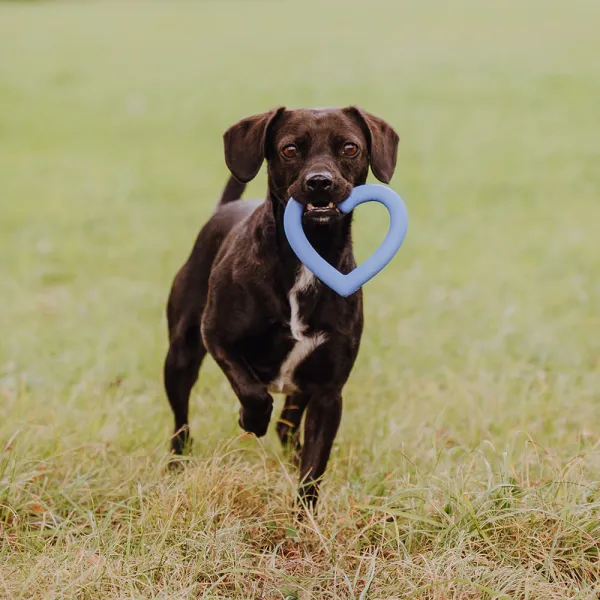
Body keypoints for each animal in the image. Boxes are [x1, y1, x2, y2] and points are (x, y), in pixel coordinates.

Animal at [164, 106, 398, 506]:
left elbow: (313, 469)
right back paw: (178, 463)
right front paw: (250, 420)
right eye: (289, 149)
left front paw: (305, 517)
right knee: (181, 422)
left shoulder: (328, 392)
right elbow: (253, 391)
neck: (309, 255)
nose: (319, 182)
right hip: (180, 355)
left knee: (288, 429)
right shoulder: (217, 337)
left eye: (350, 147)